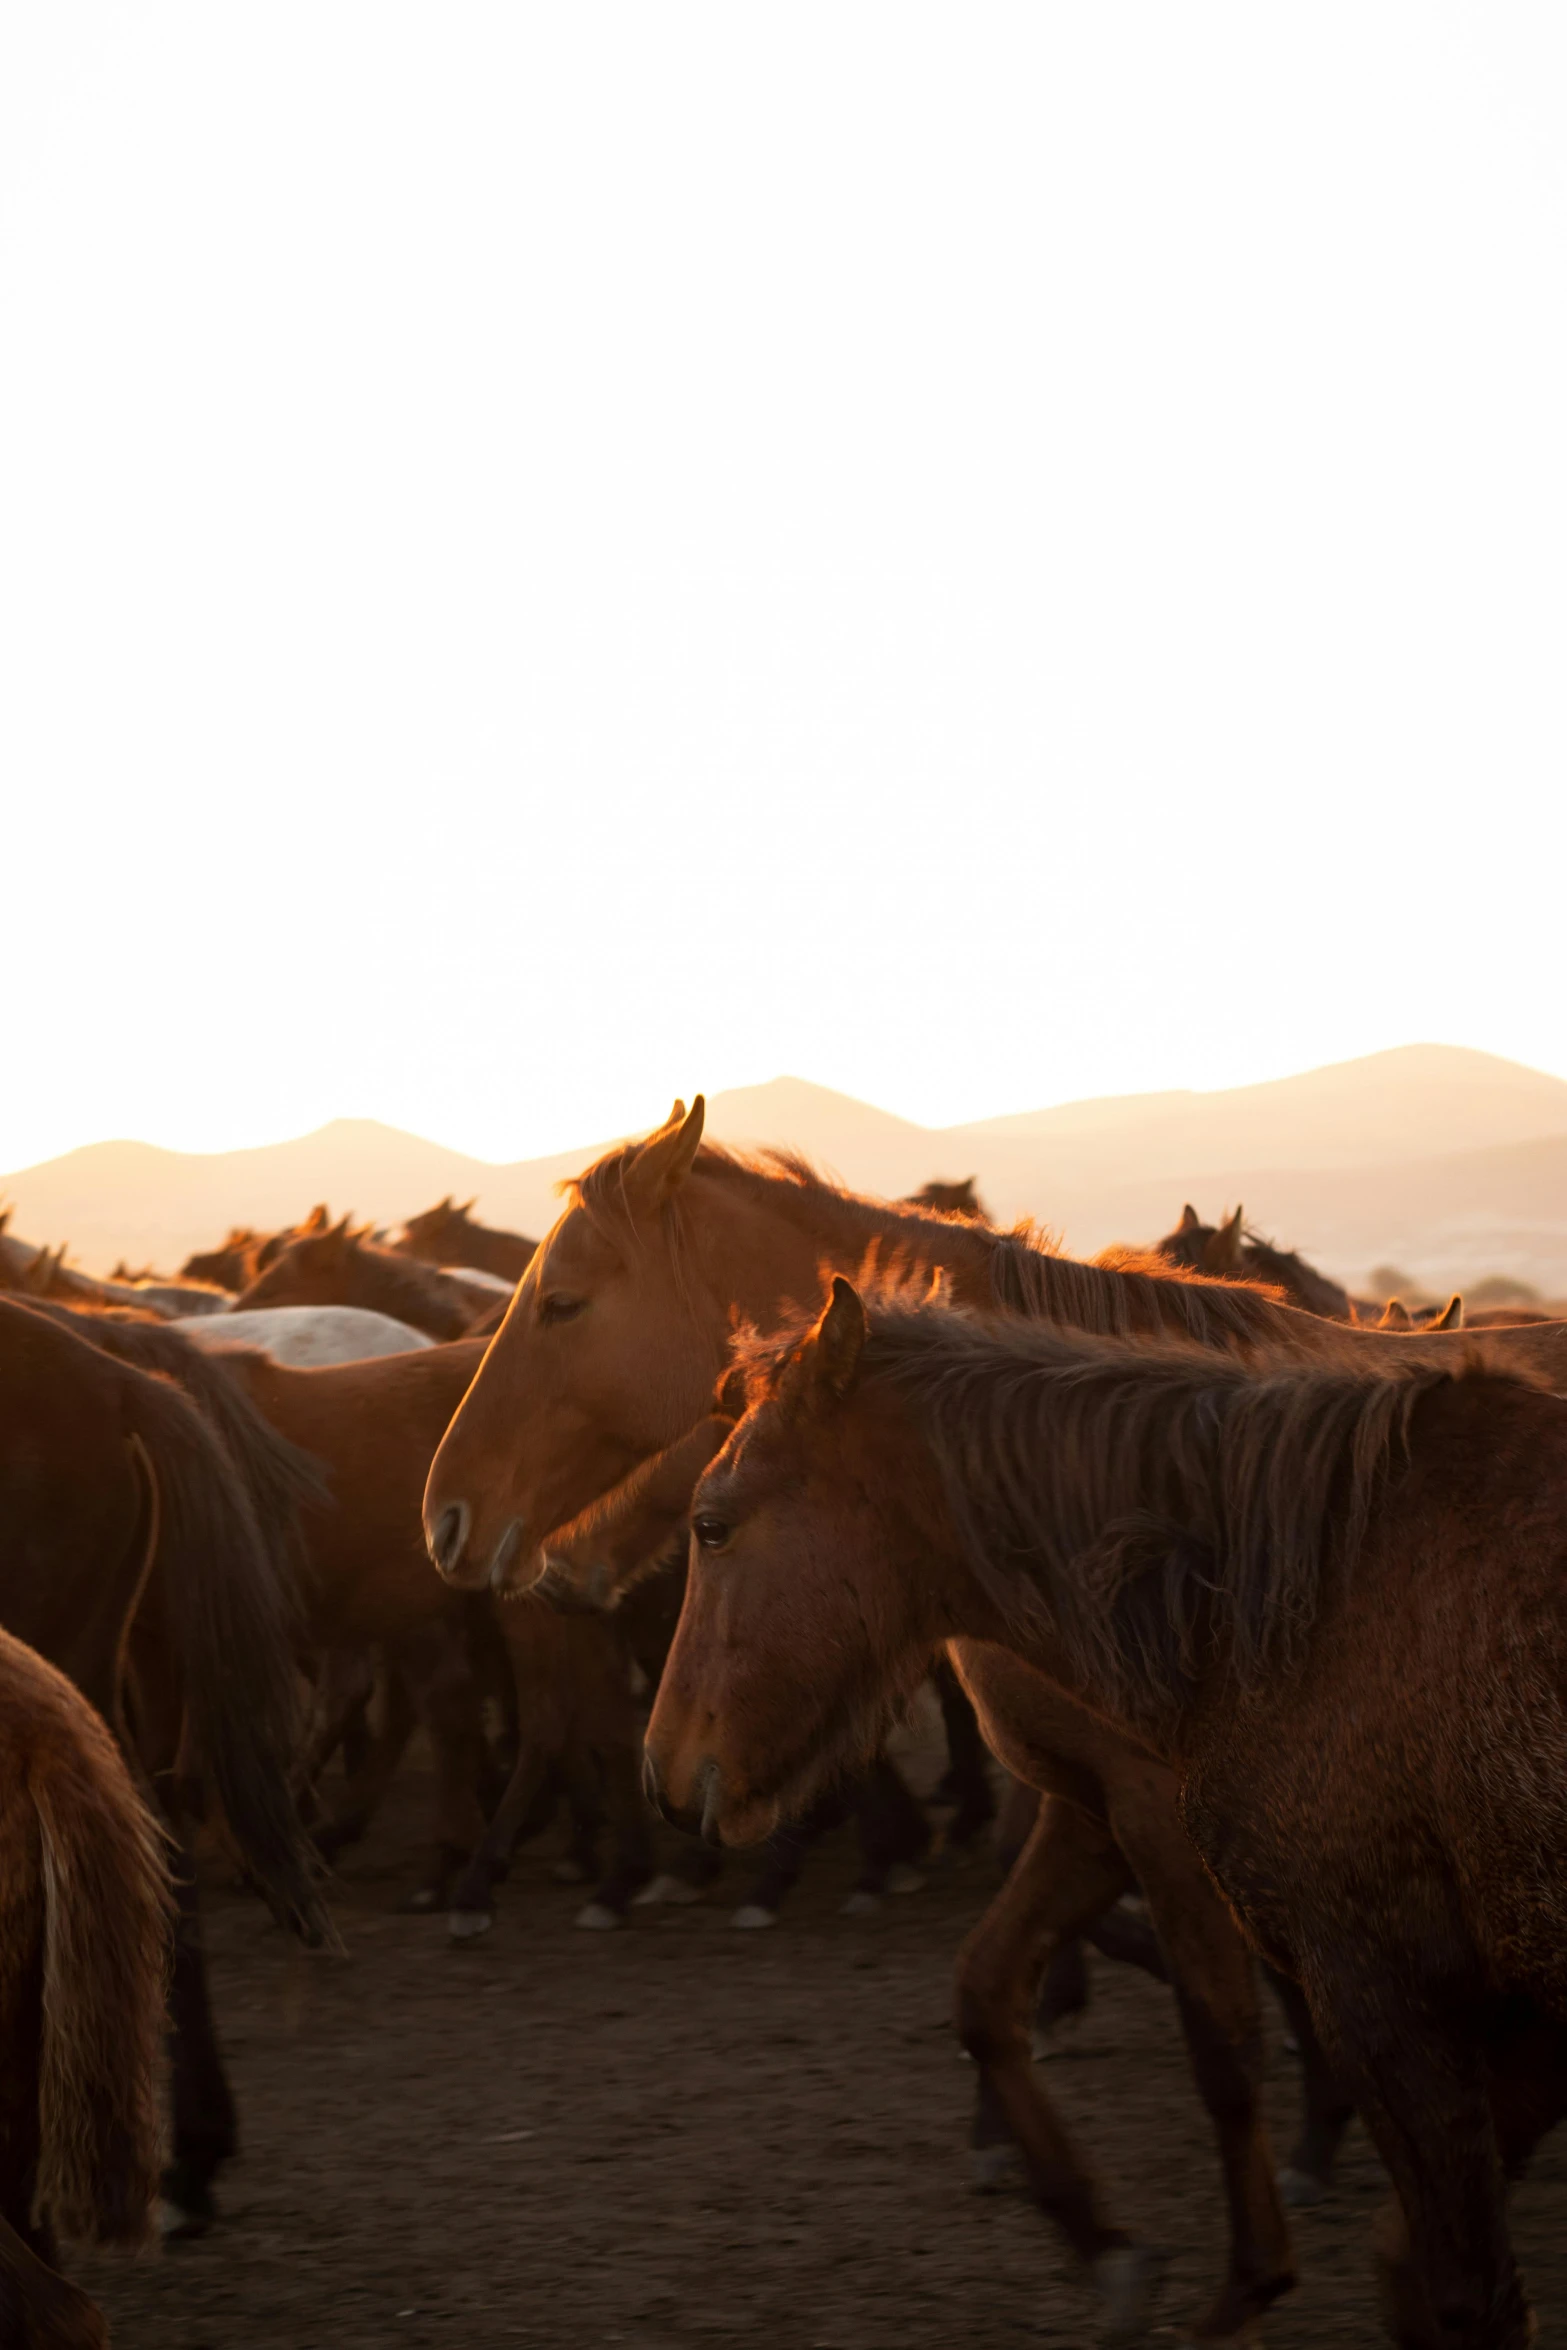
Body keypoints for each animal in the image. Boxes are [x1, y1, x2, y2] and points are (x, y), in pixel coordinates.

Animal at [653, 1287, 1567, 2350]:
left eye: (710, 1526)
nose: (663, 1767)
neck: (1307, 1596)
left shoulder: (1375, 1978)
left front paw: (1244, 2276)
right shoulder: (1093, 1812)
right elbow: (990, 1990)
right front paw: (1109, 2244)